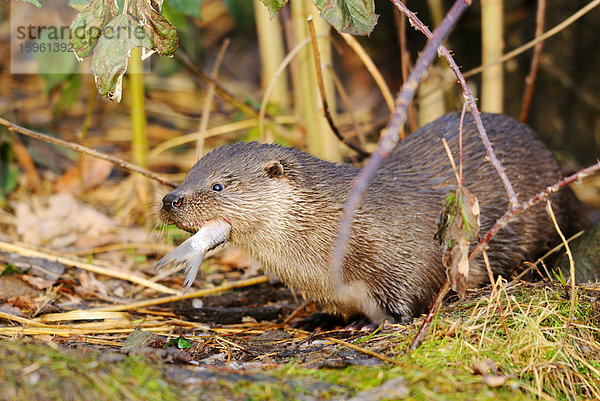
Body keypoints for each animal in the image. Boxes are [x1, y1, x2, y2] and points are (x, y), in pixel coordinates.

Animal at [156, 111, 592, 322]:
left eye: (217, 186)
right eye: (187, 174)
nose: (170, 199)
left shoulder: (410, 252)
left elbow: (414, 292)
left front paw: (375, 322)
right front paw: (316, 320)